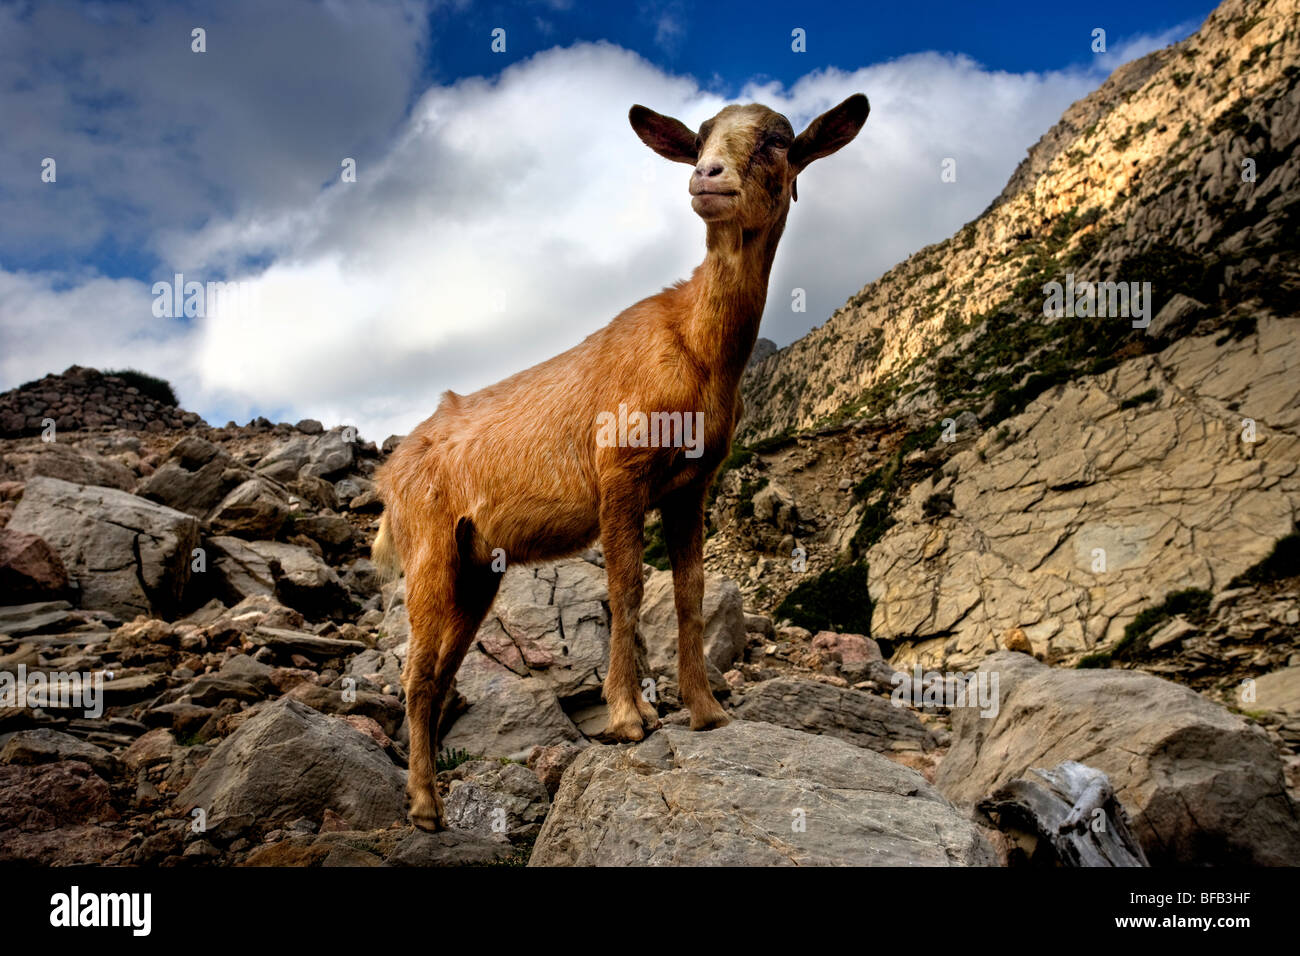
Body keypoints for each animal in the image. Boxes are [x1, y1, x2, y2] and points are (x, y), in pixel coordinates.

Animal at [371, 97, 868, 832]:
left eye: (777, 142)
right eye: (700, 139)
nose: (707, 178)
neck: (696, 350)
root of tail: (392, 473)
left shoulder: (693, 485)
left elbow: (690, 591)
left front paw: (706, 710)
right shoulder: (619, 474)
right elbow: (627, 588)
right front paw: (630, 717)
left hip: (477, 566)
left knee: (442, 672)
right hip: (428, 546)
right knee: (414, 672)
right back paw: (425, 807)